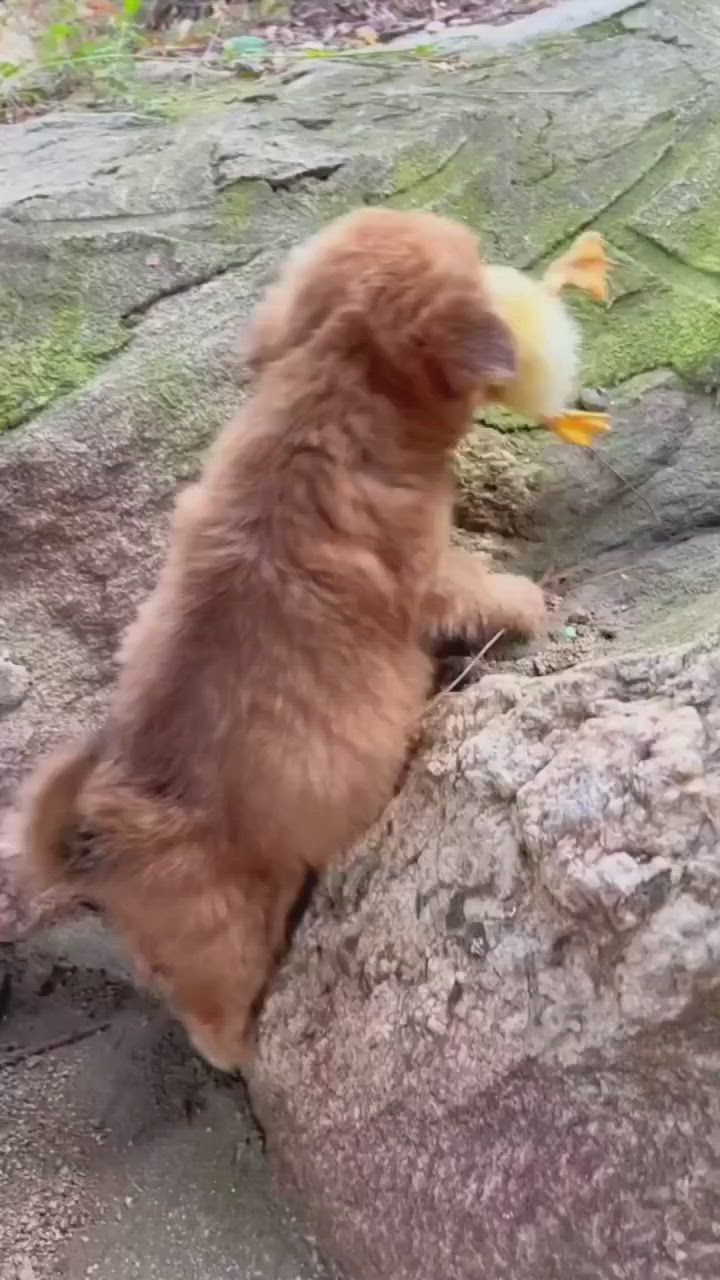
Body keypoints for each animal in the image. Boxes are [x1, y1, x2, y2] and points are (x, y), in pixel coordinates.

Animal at [20, 209, 543, 1070]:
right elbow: (479, 584)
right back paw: (241, 1050)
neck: (331, 386)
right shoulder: (428, 568)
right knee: (212, 1012)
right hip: (223, 936)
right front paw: (530, 600)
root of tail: (100, 842)